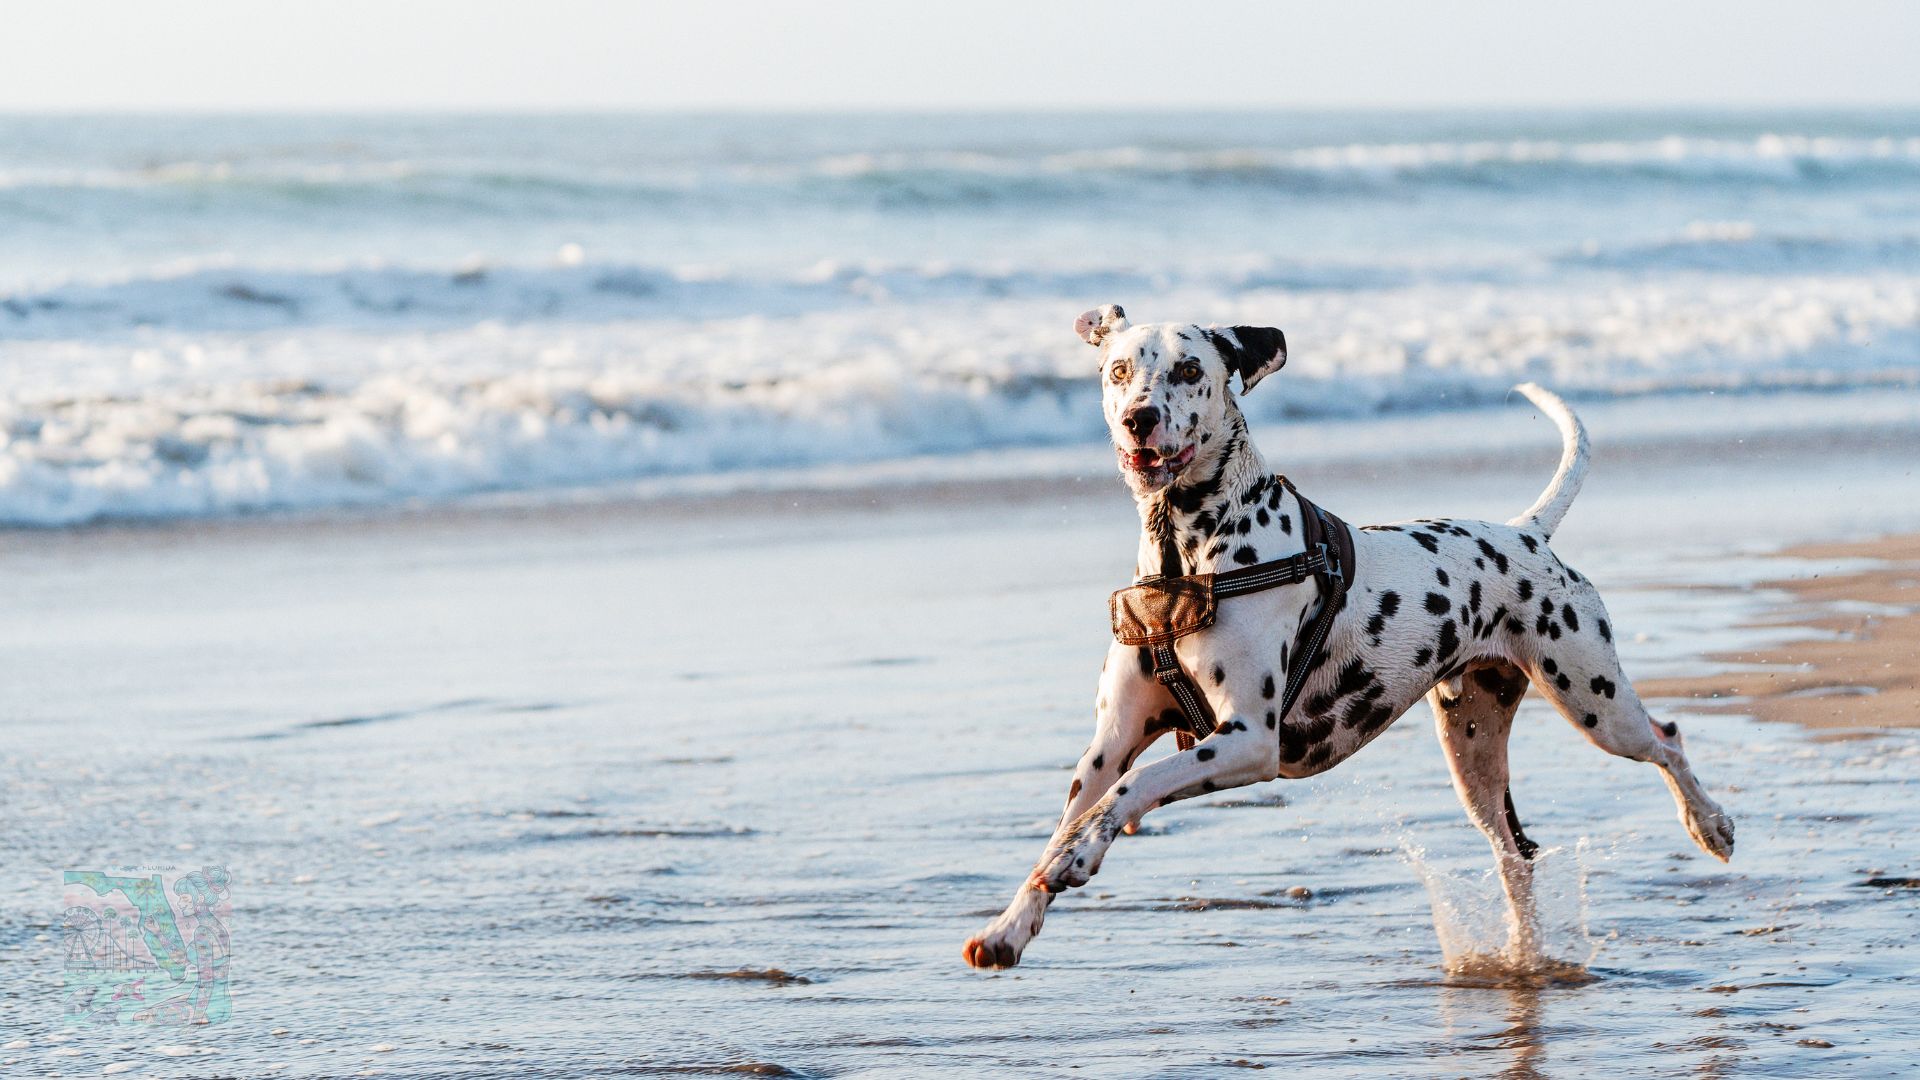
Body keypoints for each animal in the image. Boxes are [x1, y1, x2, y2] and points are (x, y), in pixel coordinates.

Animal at [960, 299, 1743, 968]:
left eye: (1187, 370)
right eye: (1119, 370)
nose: (1139, 418)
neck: (1189, 554)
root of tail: (1525, 532)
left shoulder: (1248, 741)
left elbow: (1136, 786)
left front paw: (1080, 857)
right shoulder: (1109, 743)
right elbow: (1075, 815)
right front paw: (1011, 925)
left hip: (1595, 701)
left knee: (1668, 740)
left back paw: (1709, 825)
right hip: (1475, 752)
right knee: (1514, 852)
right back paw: (1522, 956)